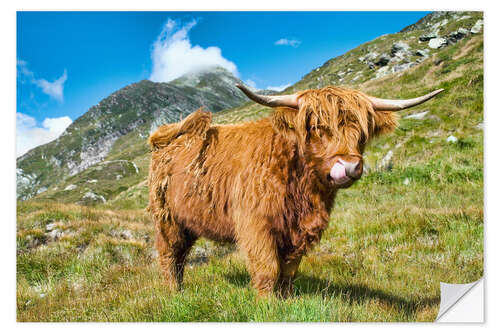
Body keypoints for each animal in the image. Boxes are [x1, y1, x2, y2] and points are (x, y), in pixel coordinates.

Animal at [147, 84, 442, 296]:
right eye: (317, 127)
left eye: (362, 133)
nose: (349, 166)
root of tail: (166, 137)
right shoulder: (256, 226)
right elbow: (267, 270)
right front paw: (267, 306)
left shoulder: (298, 231)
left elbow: (288, 271)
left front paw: (286, 300)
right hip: (167, 218)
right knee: (169, 255)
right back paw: (174, 294)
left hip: (190, 220)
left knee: (181, 256)